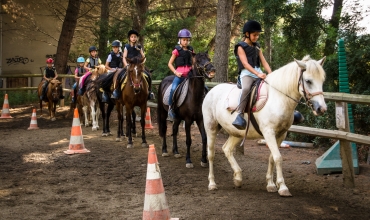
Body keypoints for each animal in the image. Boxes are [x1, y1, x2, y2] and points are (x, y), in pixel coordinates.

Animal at [202, 55, 326, 196]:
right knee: (211, 154)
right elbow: (278, 157)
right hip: (211, 128)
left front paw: (271, 184)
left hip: (237, 133)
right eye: (308, 81)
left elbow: (272, 157)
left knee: (227, 149)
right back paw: (212, 183)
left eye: (322, 80)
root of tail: (212, 91)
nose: (321, 108)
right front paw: (283, 187)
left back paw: (238, 178)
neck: (279, 98)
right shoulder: (268, 132)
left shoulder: (281, 134)